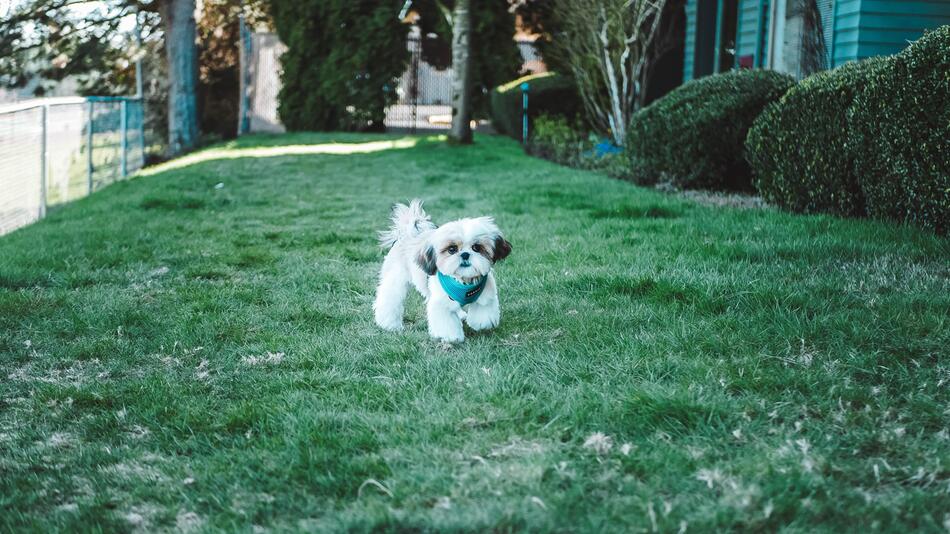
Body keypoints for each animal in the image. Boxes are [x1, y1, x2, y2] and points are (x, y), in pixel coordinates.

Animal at [376, 200, 516, 344]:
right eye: (452, 249)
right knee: (389, 299)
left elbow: (483, 315)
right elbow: (446, 322)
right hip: (396, 279)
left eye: (477, 247)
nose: (465, 254)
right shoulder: (441, 303)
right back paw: (389, 324)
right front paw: (452, 337)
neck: (464, 282)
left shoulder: (485, 295)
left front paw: (480, 324)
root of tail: (408, 233)